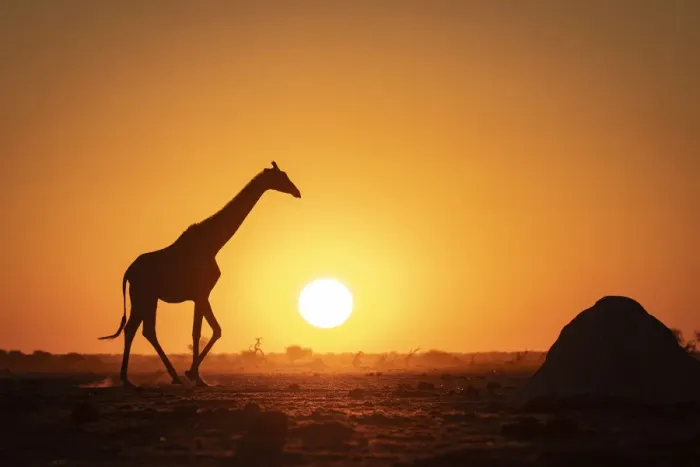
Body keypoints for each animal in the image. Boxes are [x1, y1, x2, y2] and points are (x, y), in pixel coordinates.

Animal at [99, 161, 301, 388]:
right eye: (281, 176)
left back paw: (163, 377)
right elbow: (213, 330)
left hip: (148, 297)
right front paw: (193, 373)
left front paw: (195, 376)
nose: (297, 192)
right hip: (143, 295)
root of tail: (128, 272)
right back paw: (132, 379)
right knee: (137, 329)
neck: (213, 244)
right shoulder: (203, 293)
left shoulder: (199, 295)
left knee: (143, 330)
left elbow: (199, 332)